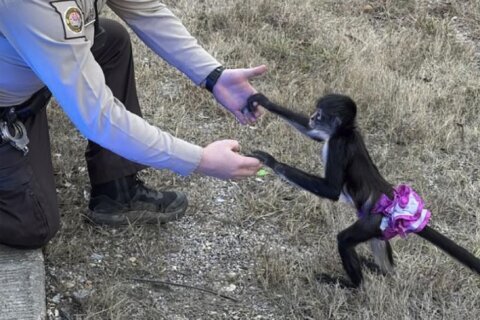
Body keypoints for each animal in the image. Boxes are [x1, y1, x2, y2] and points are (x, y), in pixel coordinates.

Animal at [246, 92, 480, 288]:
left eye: (319, 114)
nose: (312, 117)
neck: (346, 133)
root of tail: (393, 198)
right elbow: (313, 134)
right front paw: (264, 101)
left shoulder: (338, 145)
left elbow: (331, 190)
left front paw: (272, 161)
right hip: (380, 225)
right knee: (379, 244)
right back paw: (383, 272)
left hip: (373, 221)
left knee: (345, 240)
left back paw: (353, 286)